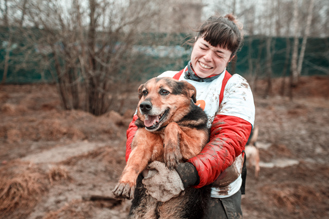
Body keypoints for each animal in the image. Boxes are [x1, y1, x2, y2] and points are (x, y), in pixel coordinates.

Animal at [113, 76, 210, 217]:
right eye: (145, 92)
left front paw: (171, 151)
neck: (159, 130)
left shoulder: (196, 148)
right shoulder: (141, 147)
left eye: (164, 91)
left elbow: (173, 125)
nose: (144, 106)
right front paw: (125, 183)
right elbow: (132, 164)